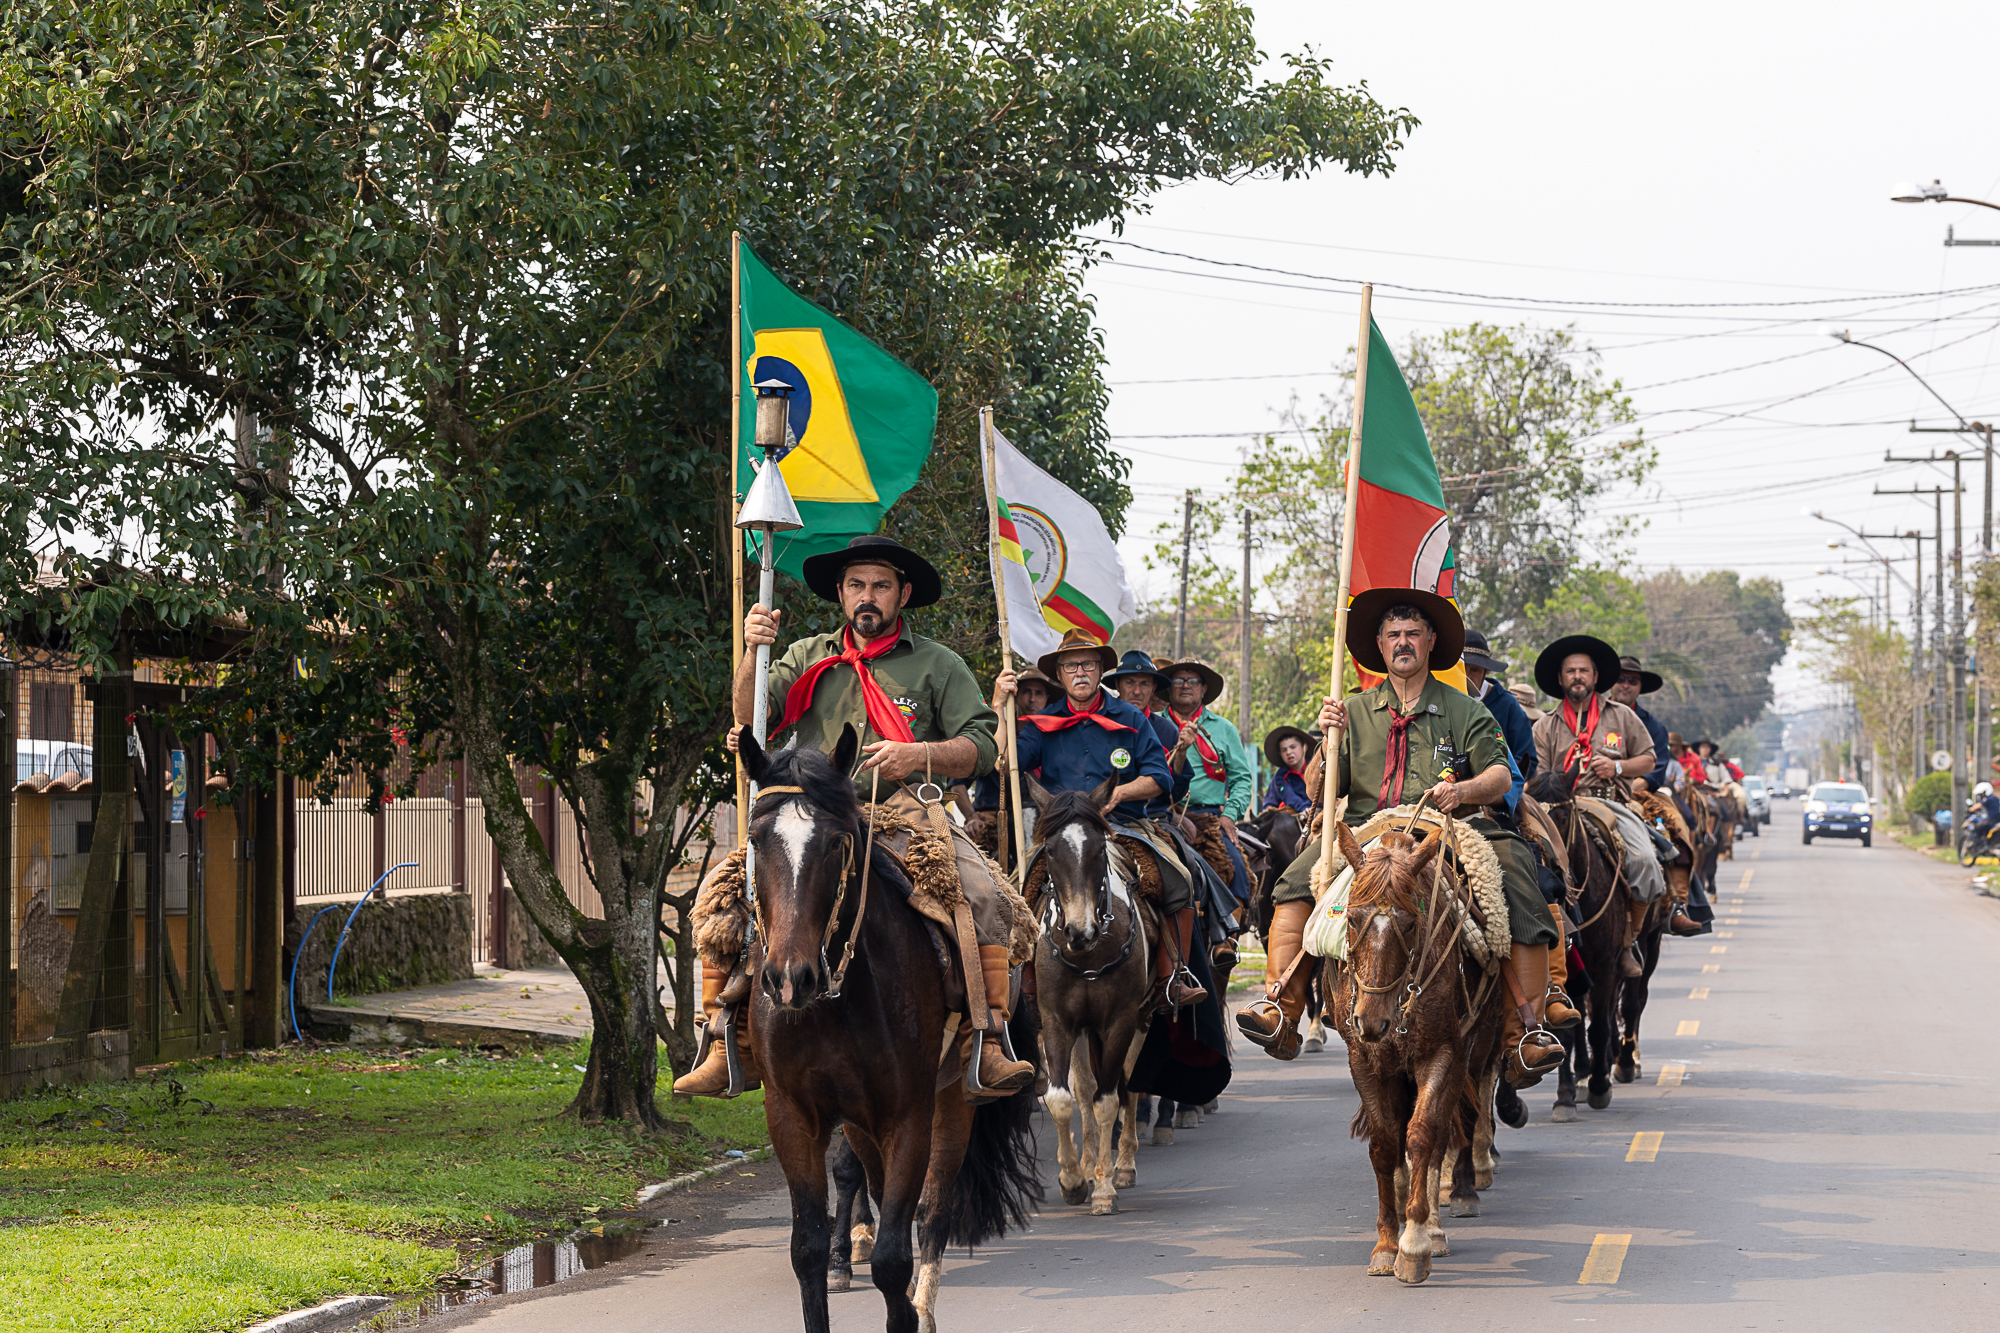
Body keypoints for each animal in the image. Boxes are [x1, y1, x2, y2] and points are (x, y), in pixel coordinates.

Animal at [744, 728, 1040, 1328]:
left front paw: (908, 1311)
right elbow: (807, 1251)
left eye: (836, 843)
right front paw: (836, 1260)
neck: (833, 1005)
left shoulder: (908, 1114)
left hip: (954, 1099)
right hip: (859, 1120)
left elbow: (894, 1258)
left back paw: (923, 1304)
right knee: (871, 1186)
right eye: (757, 840)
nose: (789, 979)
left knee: (933, 1211)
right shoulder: (791, 1115)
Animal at [1328, 816, 1504, 1280]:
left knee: (1455, 1123)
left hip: (1476, 1046)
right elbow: (1385, 1144)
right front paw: (1387, 1243)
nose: (1370, 1021)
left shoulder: (1442, 1053)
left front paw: (1416, 1242)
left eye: (1409, 924)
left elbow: (1424, 1134)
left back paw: (1448, 1208)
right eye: (1352, 918)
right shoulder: (1365, 1061)